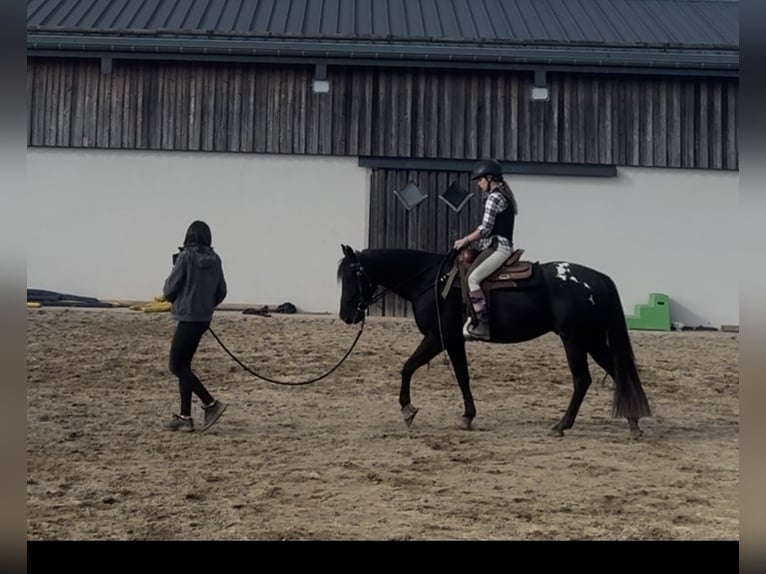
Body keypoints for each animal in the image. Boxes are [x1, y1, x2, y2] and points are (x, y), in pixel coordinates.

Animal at [340, 245, 652, 438]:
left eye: (351, 276)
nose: (346, 315)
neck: (431, 281)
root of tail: (597, 278)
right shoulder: (453, 340)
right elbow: (462, 376)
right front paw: (468, 416)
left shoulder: (437, 337)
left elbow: (408, 367)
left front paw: (407, 410)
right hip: (592, 339)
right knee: (617, 372)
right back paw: (633, 421)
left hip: (575, 339)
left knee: (582, 379)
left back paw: (562, 425)